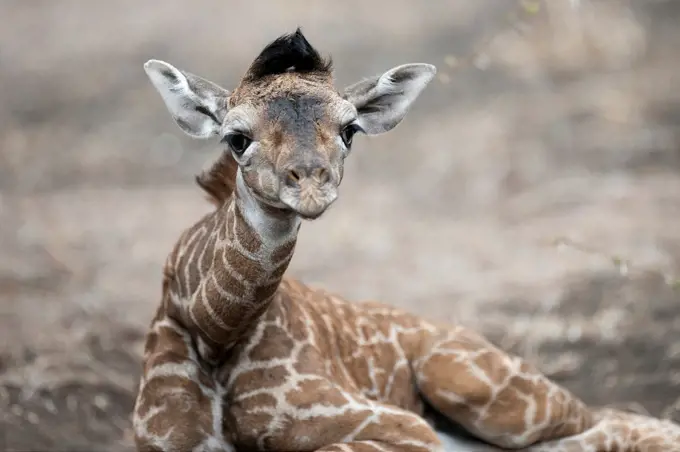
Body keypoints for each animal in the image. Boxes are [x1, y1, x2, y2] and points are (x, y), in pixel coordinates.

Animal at [133, 30, 680, 450]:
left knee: (609, 421)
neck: (214, 330)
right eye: (236, 138)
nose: (311, 185)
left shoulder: (402, 425)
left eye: (350, 130)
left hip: (481, 389)